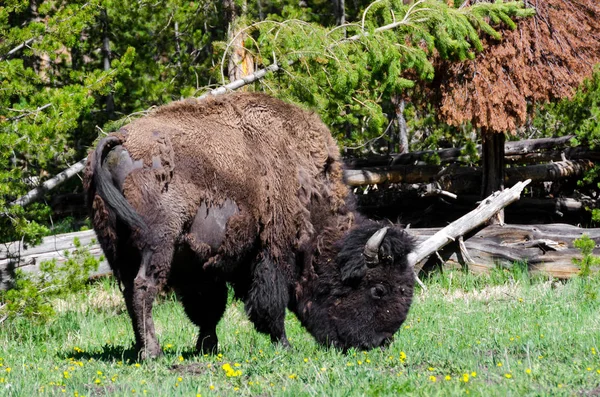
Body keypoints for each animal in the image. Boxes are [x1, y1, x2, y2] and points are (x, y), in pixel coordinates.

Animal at [83, 93, 412, 358]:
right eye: (378, 289)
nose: (380, 343)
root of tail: (118, 143)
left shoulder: (205, 265)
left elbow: (209, 309)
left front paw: (208, 347)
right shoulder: (271, 250)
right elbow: (269, 304)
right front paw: (285, 345)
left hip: (117, 249)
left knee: (129, 292)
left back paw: (142, 347)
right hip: (157, 244)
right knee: (144, 288)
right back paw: (153, 352)